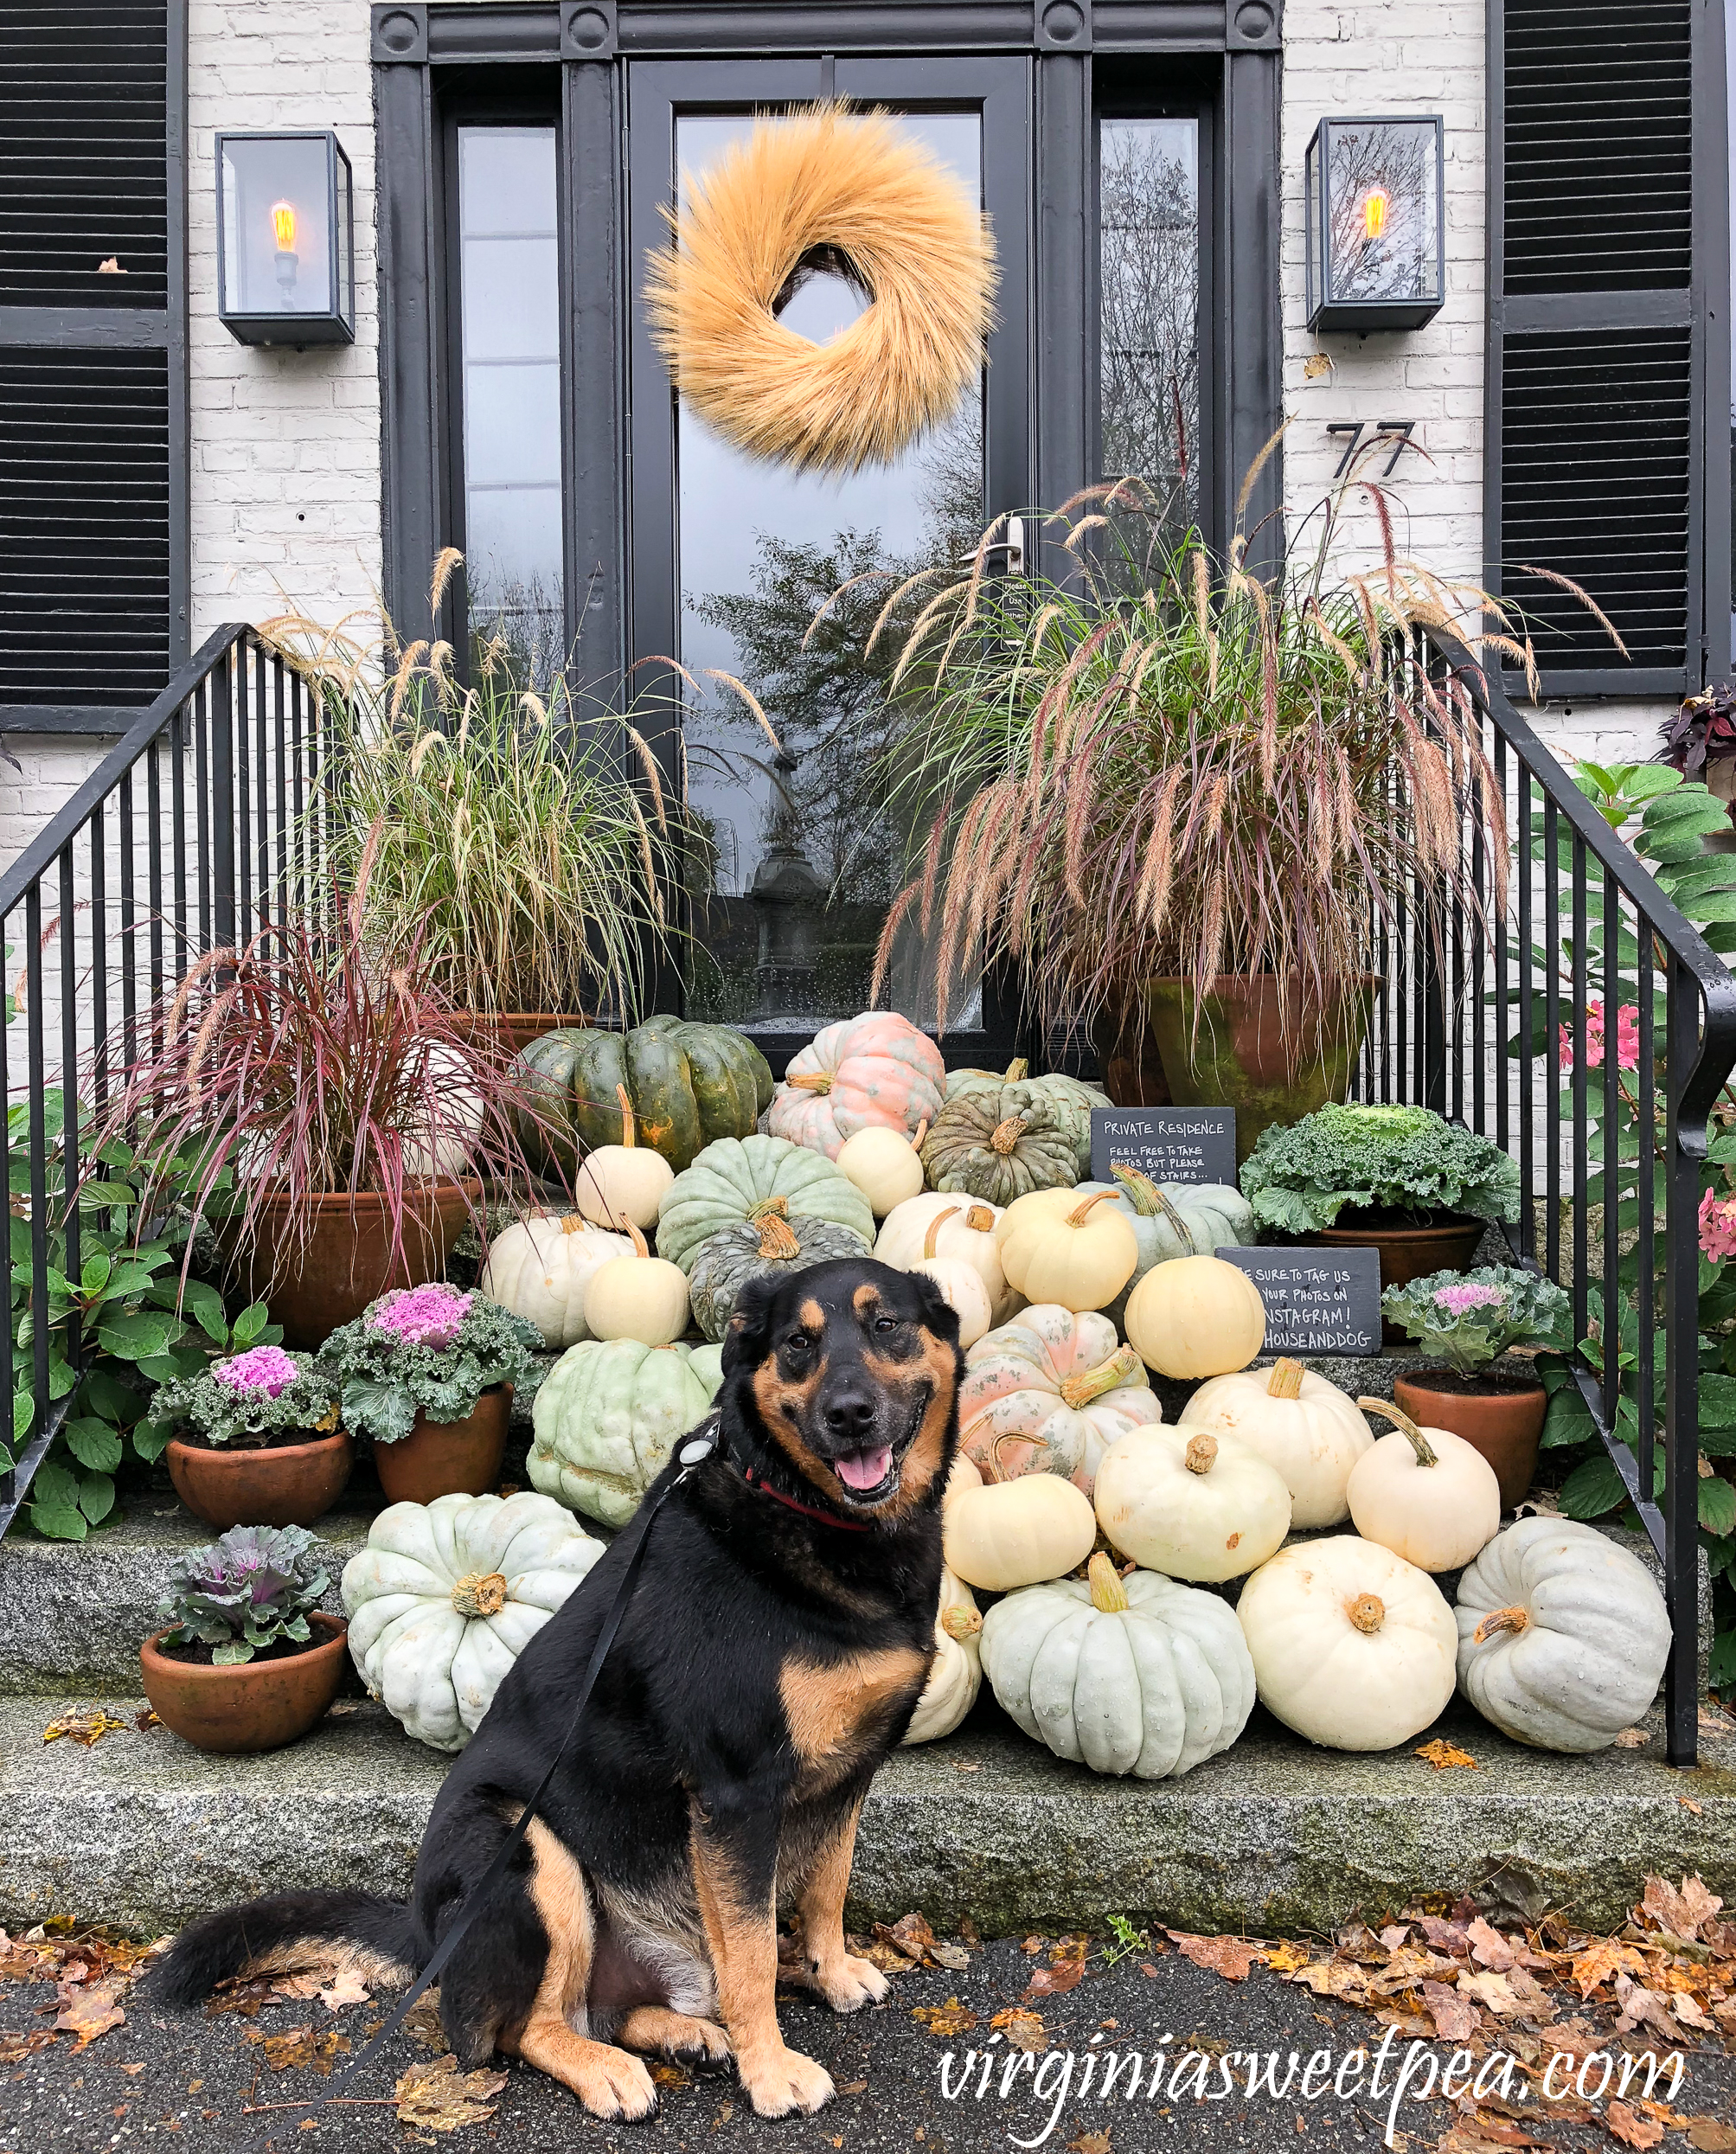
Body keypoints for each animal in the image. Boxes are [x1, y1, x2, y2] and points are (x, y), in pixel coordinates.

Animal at [150, 1258, 964, 2119]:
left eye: (885, 1325)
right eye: (798, 1343)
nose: (850, 1415)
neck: (797, 1504)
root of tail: (425, 1934)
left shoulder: (848, 1773)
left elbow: (827, 1889)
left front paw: (829, 1972)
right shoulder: (738, 1792)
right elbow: (748, 1958)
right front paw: (771, 2068)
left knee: (606, 2006)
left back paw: (684, 2035)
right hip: (531, 1852)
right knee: (519, 2026)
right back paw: (608, 2067)